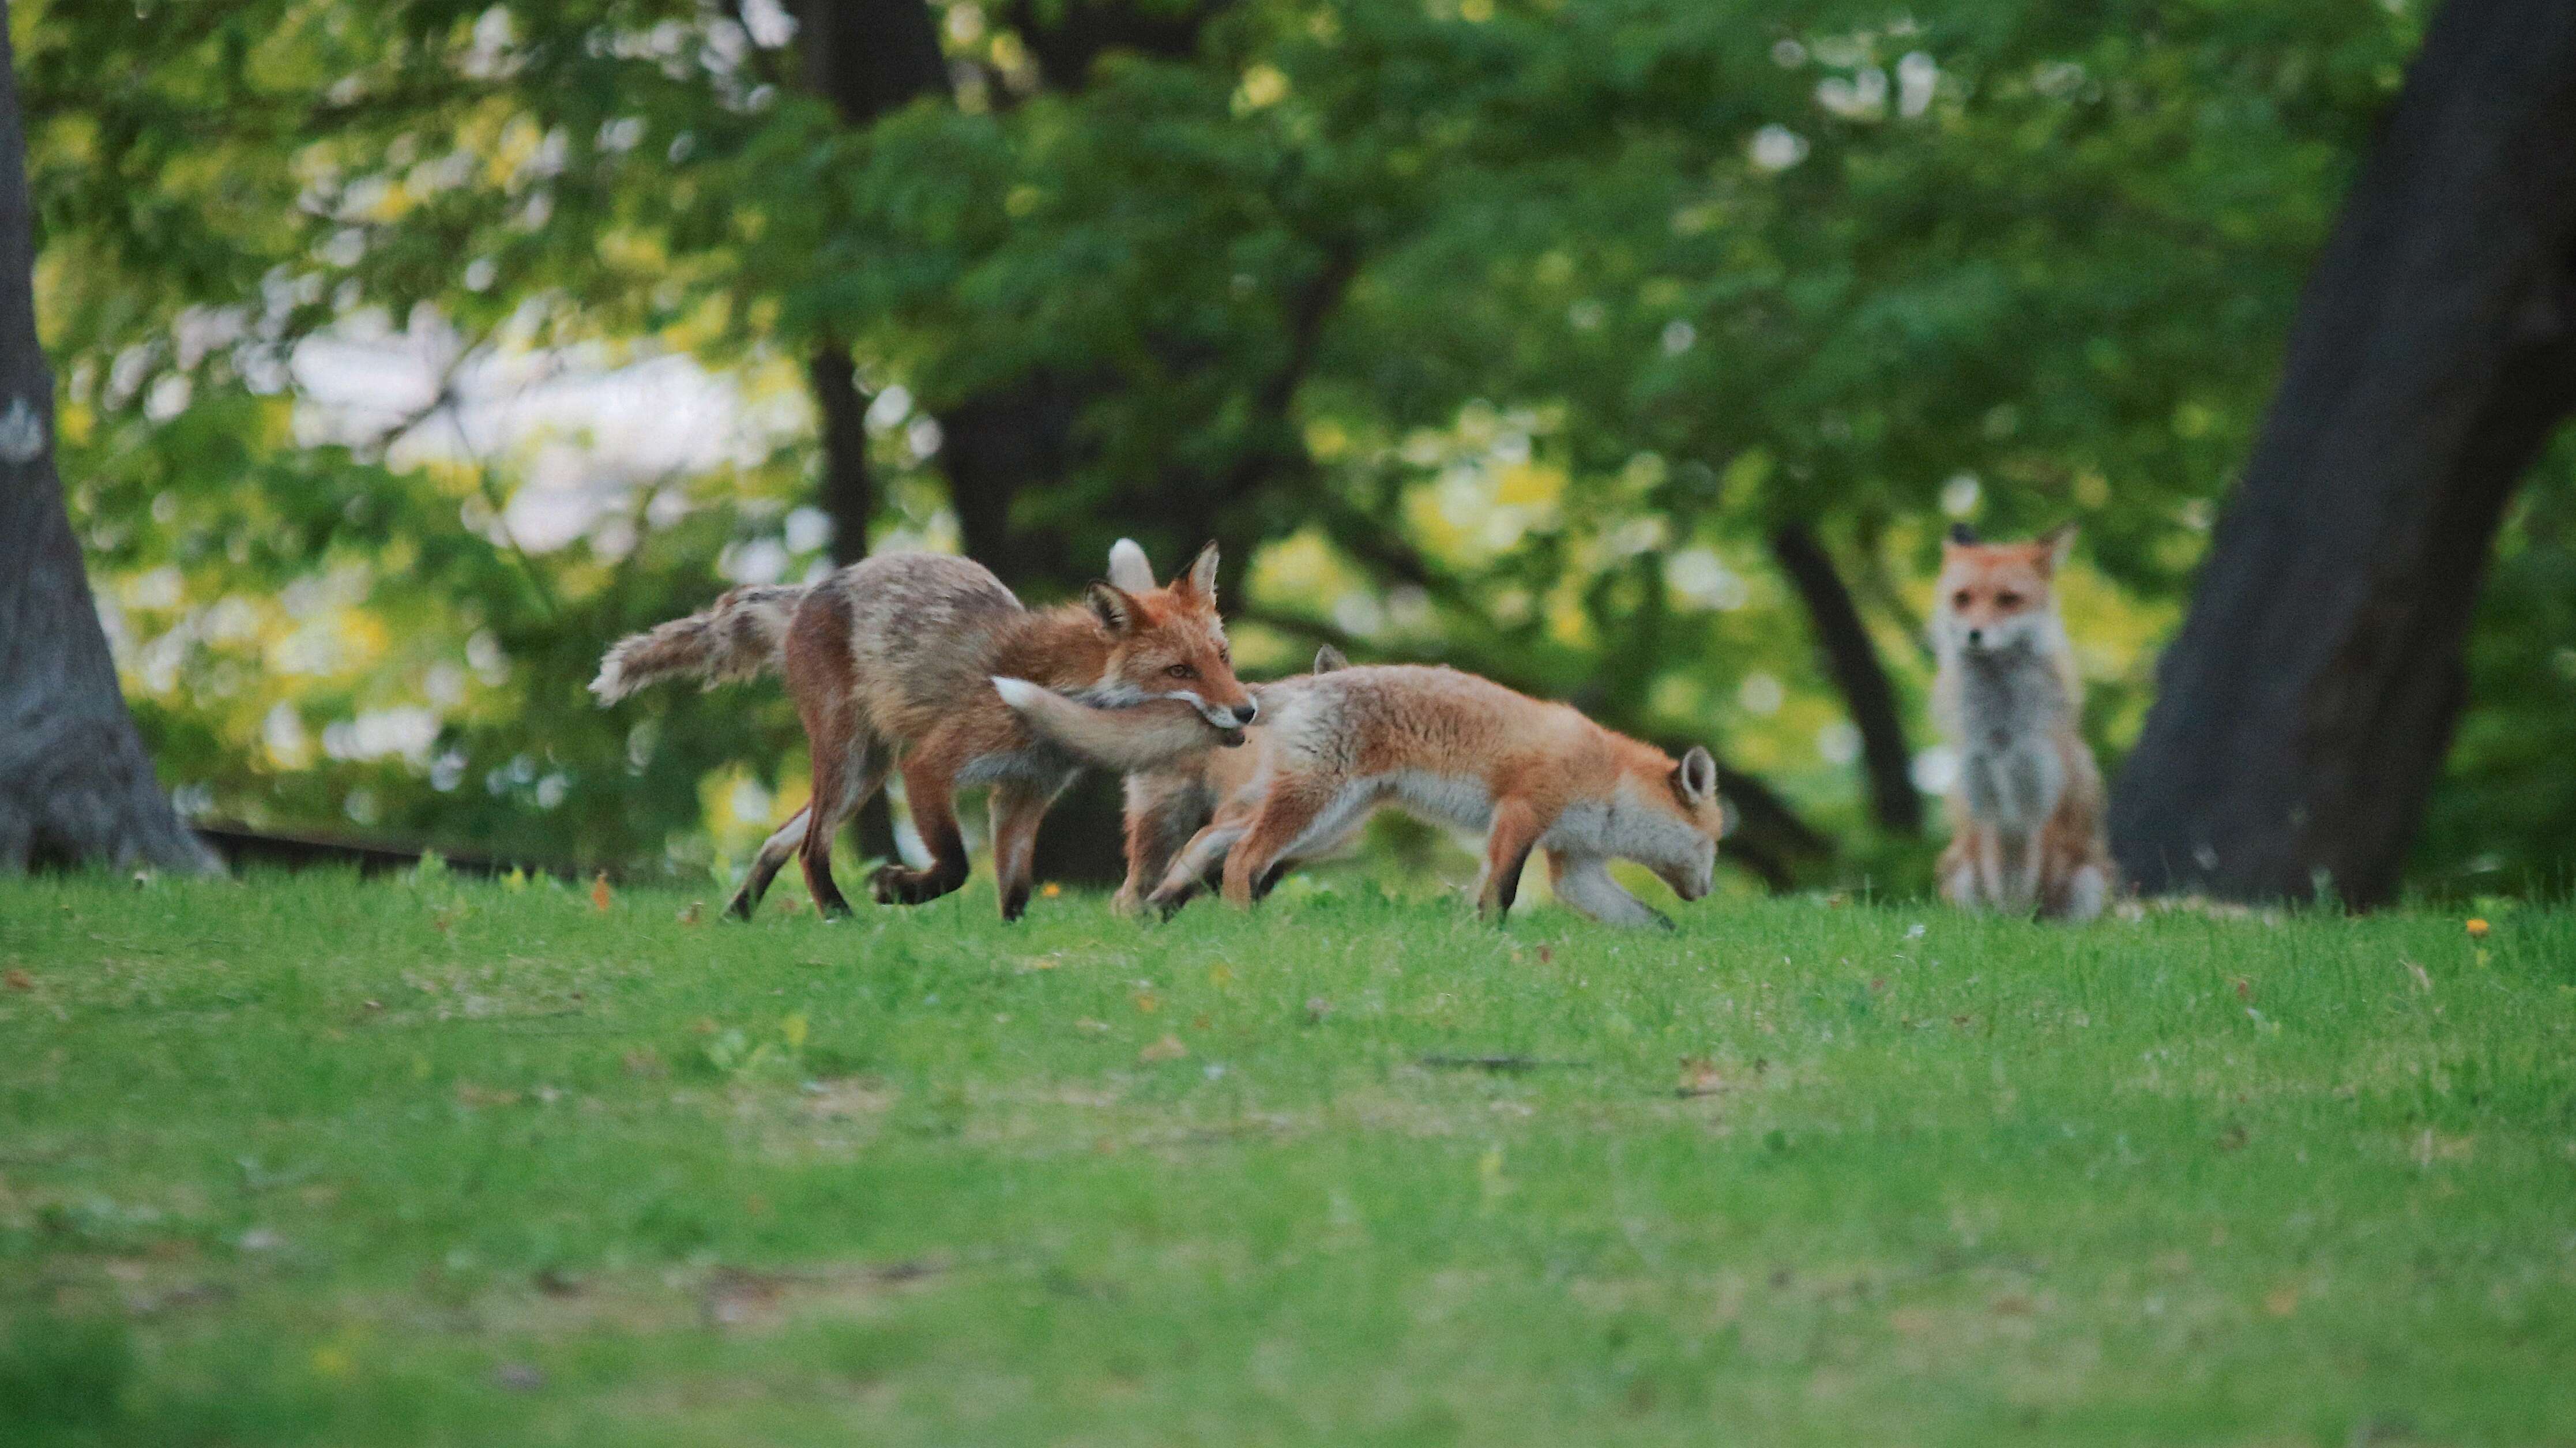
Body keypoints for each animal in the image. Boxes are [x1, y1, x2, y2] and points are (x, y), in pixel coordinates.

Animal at [592, 536, 1257, 917]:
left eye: (1222, 658)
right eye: (1179, 671)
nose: (1248, 711)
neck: (1055, 685)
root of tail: (814, 589)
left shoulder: (1024, 792)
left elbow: (1016, 891)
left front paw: (1013, 945)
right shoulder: (932, 765)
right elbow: (957, 866)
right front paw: (900, 888)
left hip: (865, 771)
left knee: (780, 839)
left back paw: (739, 914)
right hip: (850, 759)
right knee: (810, 848)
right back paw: (840, 916)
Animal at [994, 657, 1720, 917]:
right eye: (1714, 845)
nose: (1709, 890)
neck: (1605, 780)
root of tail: (1298, 685)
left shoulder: (1575, 862)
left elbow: (1647, 922)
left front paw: (1678, 949)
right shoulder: (1518, 813)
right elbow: (1501, 894)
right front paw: (1486, 940)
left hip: (1324, 814)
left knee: (1204, 846)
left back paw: (1166, 906)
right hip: (1313, 807)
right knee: (1242, 861)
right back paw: (1244, 925)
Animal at [1937, 518, 2112, 917]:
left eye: (2008, 599)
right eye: (1962, 598)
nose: (1973, 635)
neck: (2002, 733)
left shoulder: (2043, 808)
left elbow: (2040, 888)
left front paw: (2030, 925)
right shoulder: (1984, 806)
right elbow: (1996, 889)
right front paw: (1998, 924)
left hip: (2089, 879)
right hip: (1959, 871)